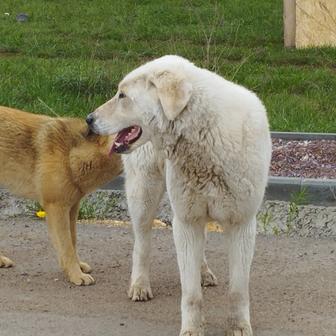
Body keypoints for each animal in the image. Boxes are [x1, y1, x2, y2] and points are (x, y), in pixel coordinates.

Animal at [0, 106, 122, 284]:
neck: (70, 153)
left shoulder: (71, 209)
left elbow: (72, 242)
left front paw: (76, 268)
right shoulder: (57, 208)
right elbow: (67, 247)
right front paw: (76, 275)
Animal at [86, 55, 270, 336]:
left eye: (122, 95)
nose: (88, 119)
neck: (206, 133)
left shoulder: (241, 224)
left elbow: (238, 290)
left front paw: (238, 326)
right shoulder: (186, 221)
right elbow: (191, 294)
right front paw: (192, 329)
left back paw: (204, 272)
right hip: (144, 195)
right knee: (142, 244)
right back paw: (140, 285)